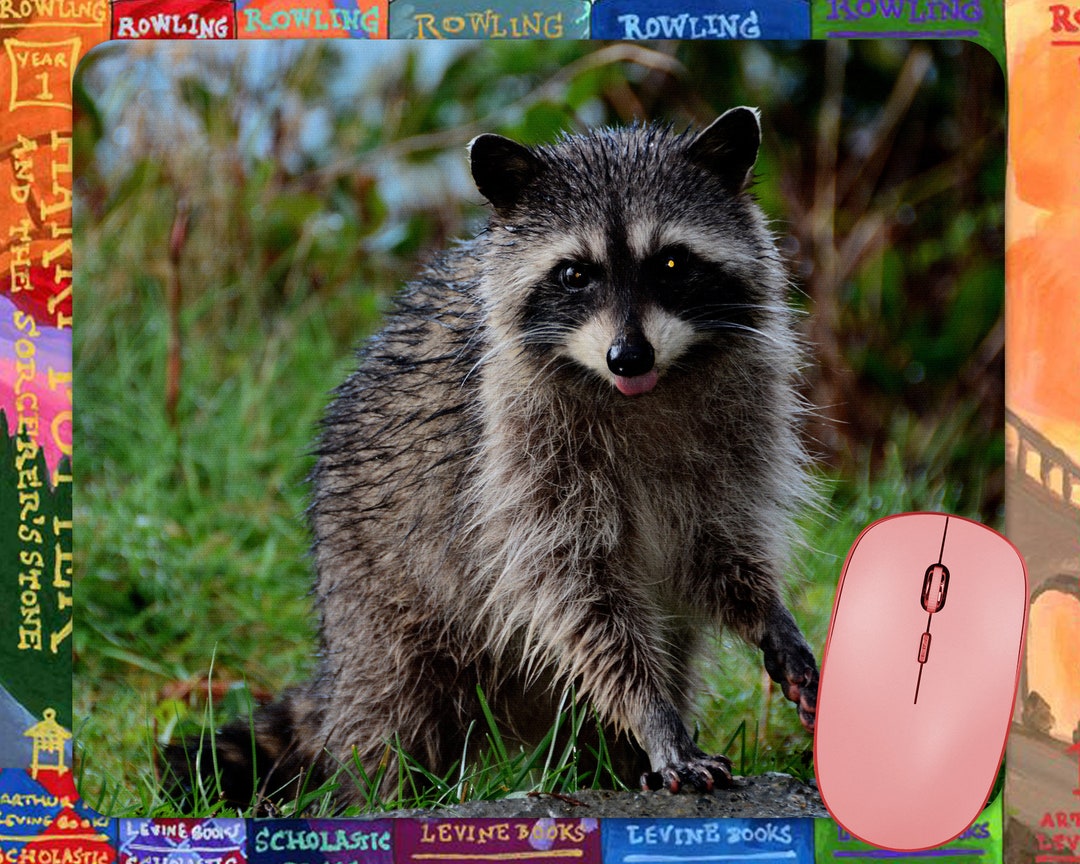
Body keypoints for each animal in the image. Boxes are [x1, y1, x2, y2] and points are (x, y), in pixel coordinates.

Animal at [171, 107, 819, 810]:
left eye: (672, 262)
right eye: (574, 273)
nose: (629, 357)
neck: (640, 392)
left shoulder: (738, 428)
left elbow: (717, 547)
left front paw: (766, 613)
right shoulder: (517, 455)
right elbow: (577, 594)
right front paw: (653, 717)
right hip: (376, 597)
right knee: (390, 713)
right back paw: (375, 791)